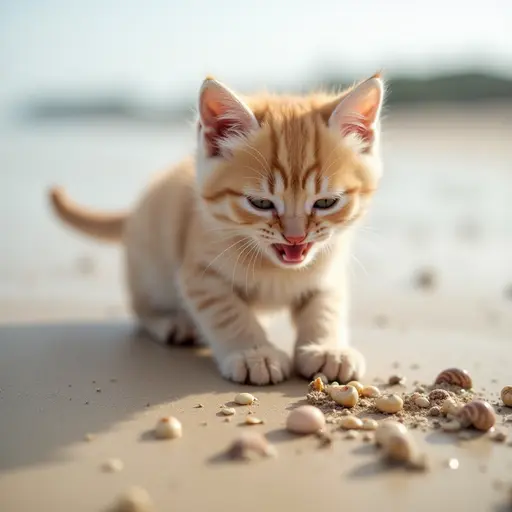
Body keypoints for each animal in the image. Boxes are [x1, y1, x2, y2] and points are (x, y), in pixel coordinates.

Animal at [50, 72, 384, 384]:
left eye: (326, 202)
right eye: (261, 203)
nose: (295, 237)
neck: (276, 269)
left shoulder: (328, 270)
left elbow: (326, 308)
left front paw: (327, 349)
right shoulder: (198, 274)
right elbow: (228, 312)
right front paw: (254, 353)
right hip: (151, 266)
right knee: (141, 307)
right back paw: (173, 322)